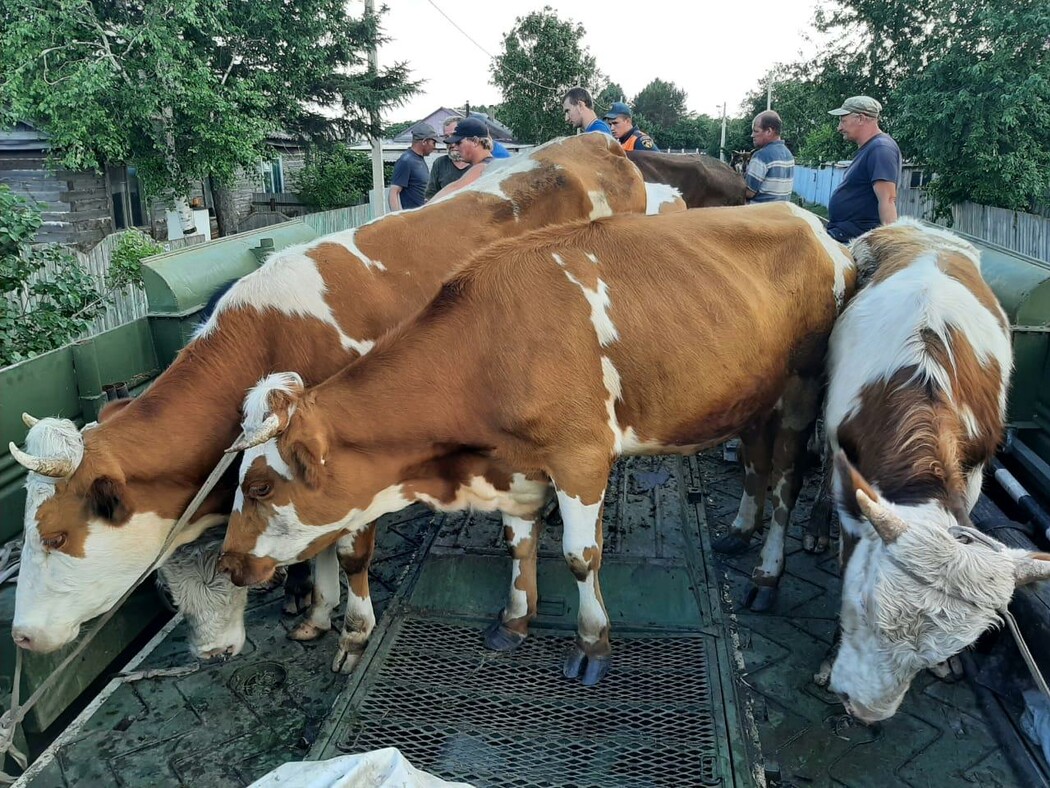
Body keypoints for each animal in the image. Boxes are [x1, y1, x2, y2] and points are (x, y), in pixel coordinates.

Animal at [217, 201, 856, 685]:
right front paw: (515, 620)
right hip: (751, 397)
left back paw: (767, 575)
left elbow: (579, 555)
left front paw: (593, 644)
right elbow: (517, 543)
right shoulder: (515, 463)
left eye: (260, 484)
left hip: (801, 390)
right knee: (755, 460)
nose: (227, 563)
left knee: (787, 481)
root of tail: (811, 221)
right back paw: (740, 530)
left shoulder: (580, 456)